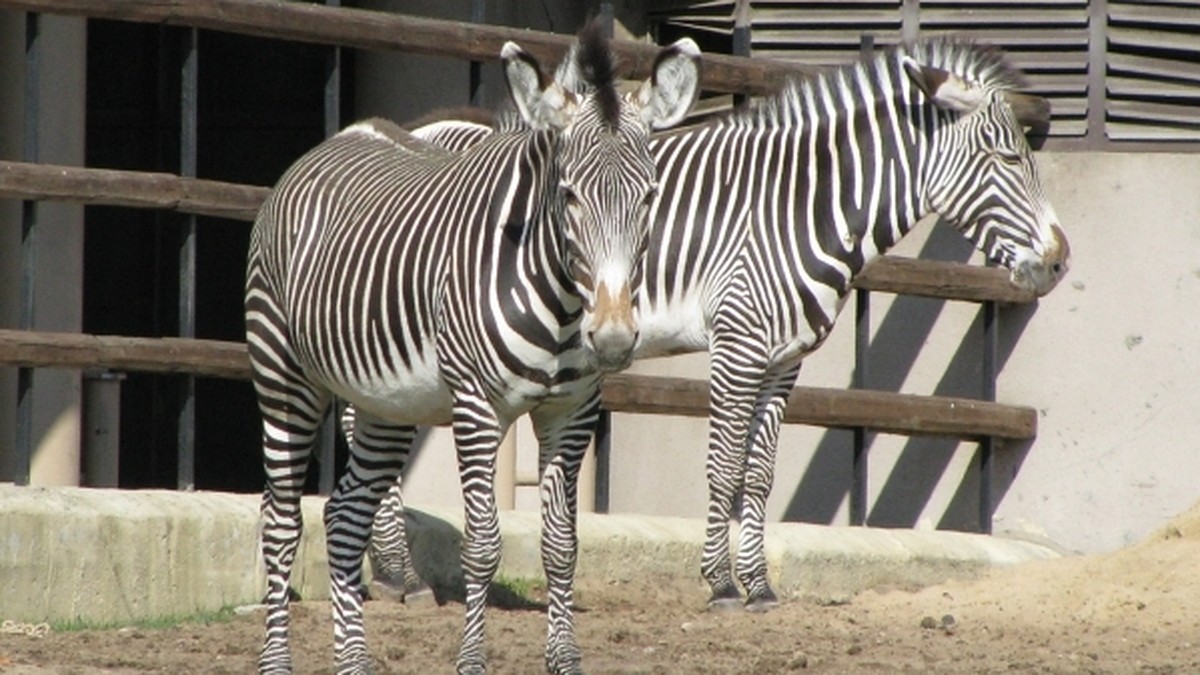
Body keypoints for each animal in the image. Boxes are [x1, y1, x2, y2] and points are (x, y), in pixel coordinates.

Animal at [243, 22, 700, 672]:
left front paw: (564, 659)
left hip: (389, 403)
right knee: (280, 522)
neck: (562, 300)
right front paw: (472, 661)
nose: (612, 338)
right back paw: (278, 659)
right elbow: (483, 546)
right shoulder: (477, 407)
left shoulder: (571, 410)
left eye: (649, 196)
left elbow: (562, 545)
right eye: (568, 196)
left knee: (343, 514)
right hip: (282, 370)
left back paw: (353, 660)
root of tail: (340, 138)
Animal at [364, 38, 1070, 614]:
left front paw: (759, 586)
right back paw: (399, 575)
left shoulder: (785, 359)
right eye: (1006, 157)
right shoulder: (738, 342)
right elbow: (725, 467)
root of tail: (413, 130)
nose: (1060, 261)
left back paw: (395, 574)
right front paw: (723, 583)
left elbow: (759, 473)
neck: (799, 208)